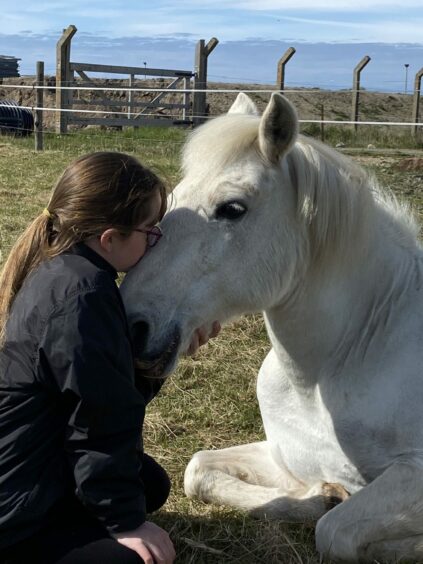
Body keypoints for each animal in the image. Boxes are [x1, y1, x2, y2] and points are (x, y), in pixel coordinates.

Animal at [119, 91, 423, 560]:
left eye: (232, 209)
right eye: (174, 198)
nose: (132, 325)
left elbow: (336, 532)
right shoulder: (282, 457)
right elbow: (198, 470)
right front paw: (322, 496)